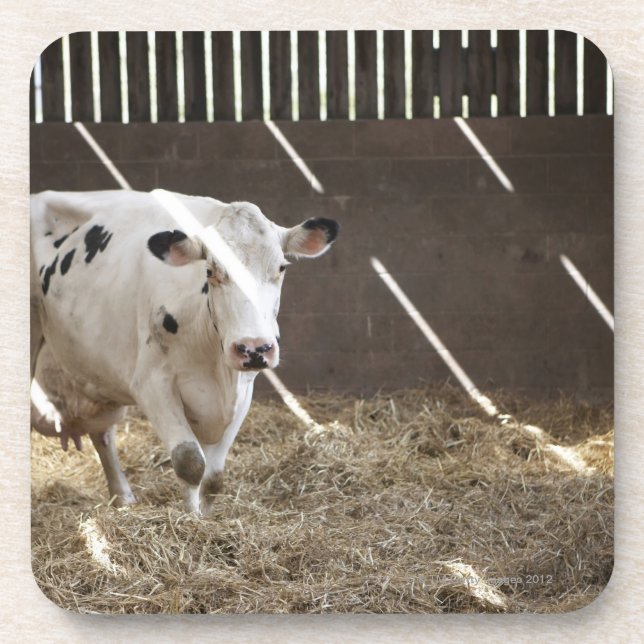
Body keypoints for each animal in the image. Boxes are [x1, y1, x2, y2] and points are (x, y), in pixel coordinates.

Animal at [30, 189, 339, 514]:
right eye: (211, 271)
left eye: (281, 268)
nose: (253, 348)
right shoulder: (152, 384)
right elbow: (190, 462)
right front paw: (191, 519)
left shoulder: (244, 389)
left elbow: (214, 476)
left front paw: (209, 517)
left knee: (103, 434)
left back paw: (123, 497)